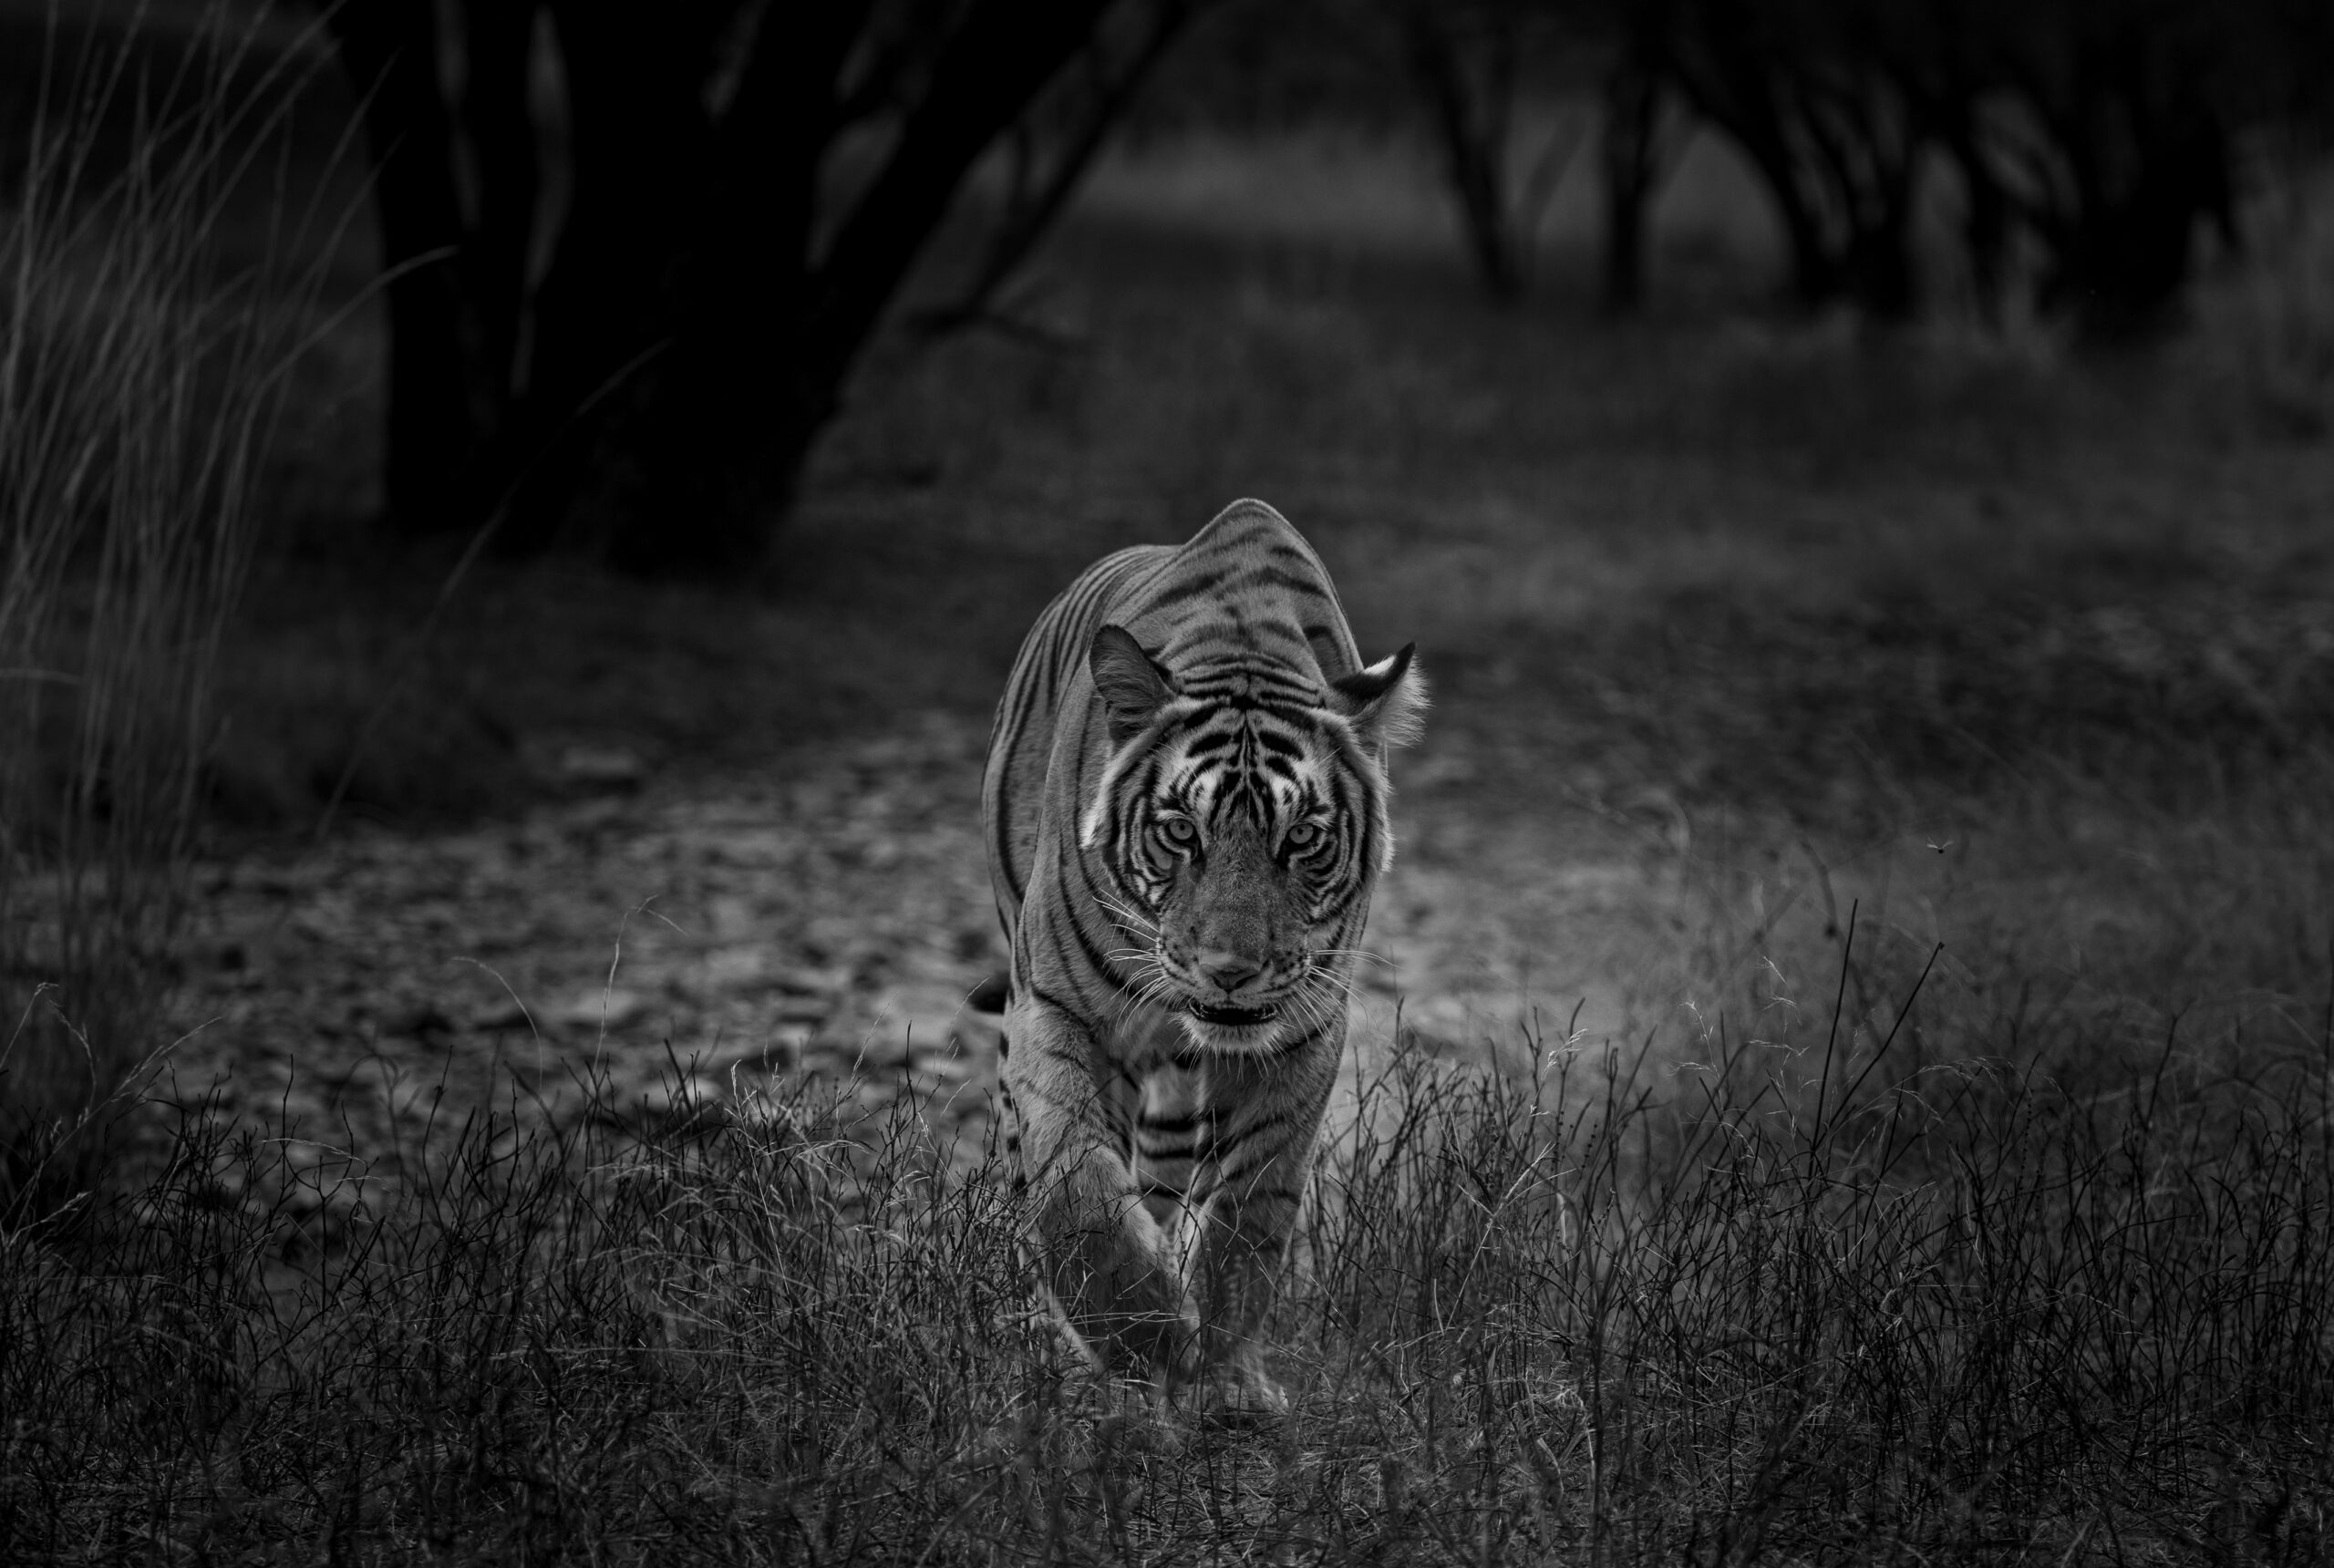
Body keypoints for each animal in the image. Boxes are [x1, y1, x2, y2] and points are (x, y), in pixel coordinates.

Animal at [981, 497, 1425, 1417]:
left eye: (1303, 840)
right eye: (1182, 831)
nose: (1230, 970)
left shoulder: (1305, 1029)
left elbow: (1251, 1211)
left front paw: (1222, 1373)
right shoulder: (1054, 1005)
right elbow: (1072, 1183)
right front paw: (1140, 1339)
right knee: (1024, 1169)